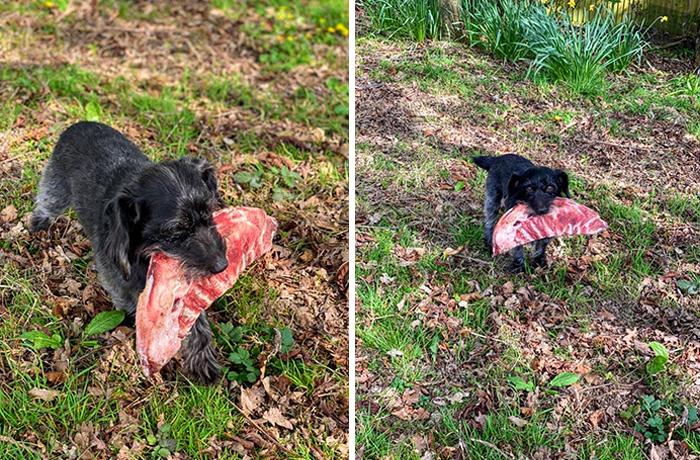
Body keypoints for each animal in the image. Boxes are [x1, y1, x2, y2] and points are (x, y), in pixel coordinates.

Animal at [30, 120, 227, 382]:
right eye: (176, 229)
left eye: (209, 213)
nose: (222, 265)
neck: (144, 250)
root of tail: (80, 122)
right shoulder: (120, 284)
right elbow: (136, 310)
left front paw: (202, 360)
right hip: (56, 190)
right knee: (45, 203)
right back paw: (36, 227)